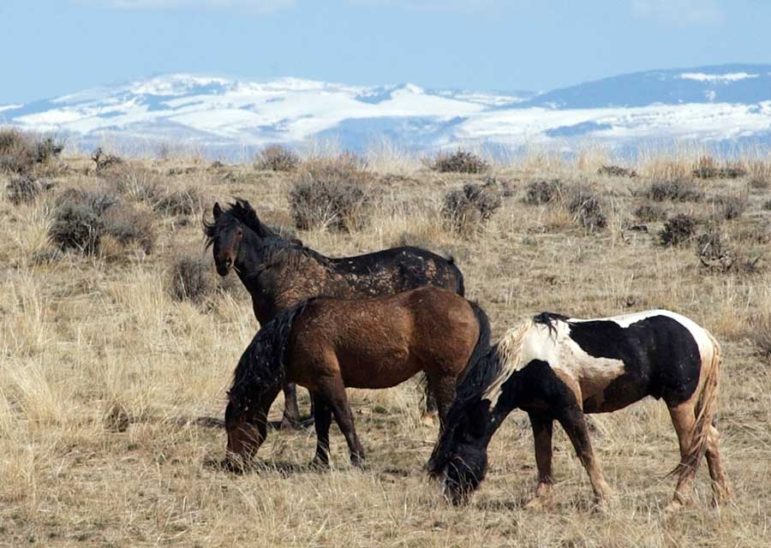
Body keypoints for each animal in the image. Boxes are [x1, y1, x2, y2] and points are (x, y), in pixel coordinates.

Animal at [205, 199, 468, 430]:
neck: (280, 272)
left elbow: (289, 382)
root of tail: (449, 266)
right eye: (215, 233)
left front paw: (291, 420)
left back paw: (428, 416)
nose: (223, 262)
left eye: (239, 232)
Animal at [225, 284, 488, 468]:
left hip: (443, 378)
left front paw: (357, 458)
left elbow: (344, 419)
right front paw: (319, 462)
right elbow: (322, 424)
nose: (231, 463)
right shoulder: (317, 387)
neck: (294, 333)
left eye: (234, 424)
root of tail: (468, 305)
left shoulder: (329, 381)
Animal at [428, 308, 728, 510]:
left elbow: (585, 452)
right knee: (710, 439)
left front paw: (605, 499)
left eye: (453, 459)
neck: (526, 360)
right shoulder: (539, 413)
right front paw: (539, 500)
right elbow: (542, 455)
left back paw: (677, 502)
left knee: (692, 447)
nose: (451, 499)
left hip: (679, 403)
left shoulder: (569, 409)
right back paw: (721, 497)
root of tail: (702, 335)